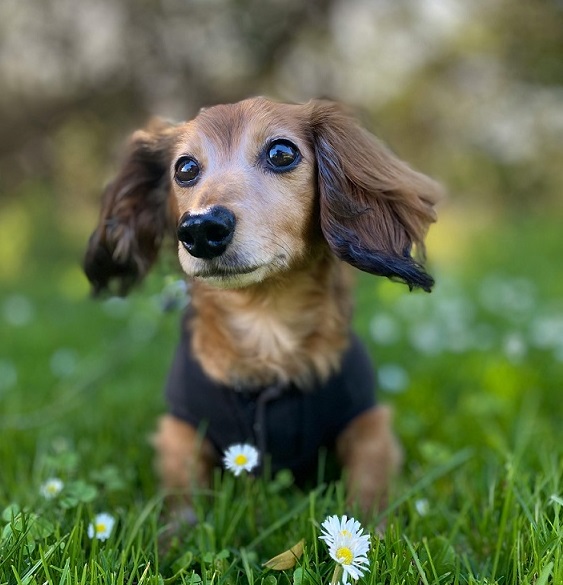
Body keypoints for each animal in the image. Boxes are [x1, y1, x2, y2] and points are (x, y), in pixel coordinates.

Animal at [83, 96, 446, 520]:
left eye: (281, 153)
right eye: (185, 168)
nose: (200, 229)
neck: (265, 322)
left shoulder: (368, 422)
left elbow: (369, 489)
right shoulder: (181, 429)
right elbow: (183, 497)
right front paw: (175, 535)